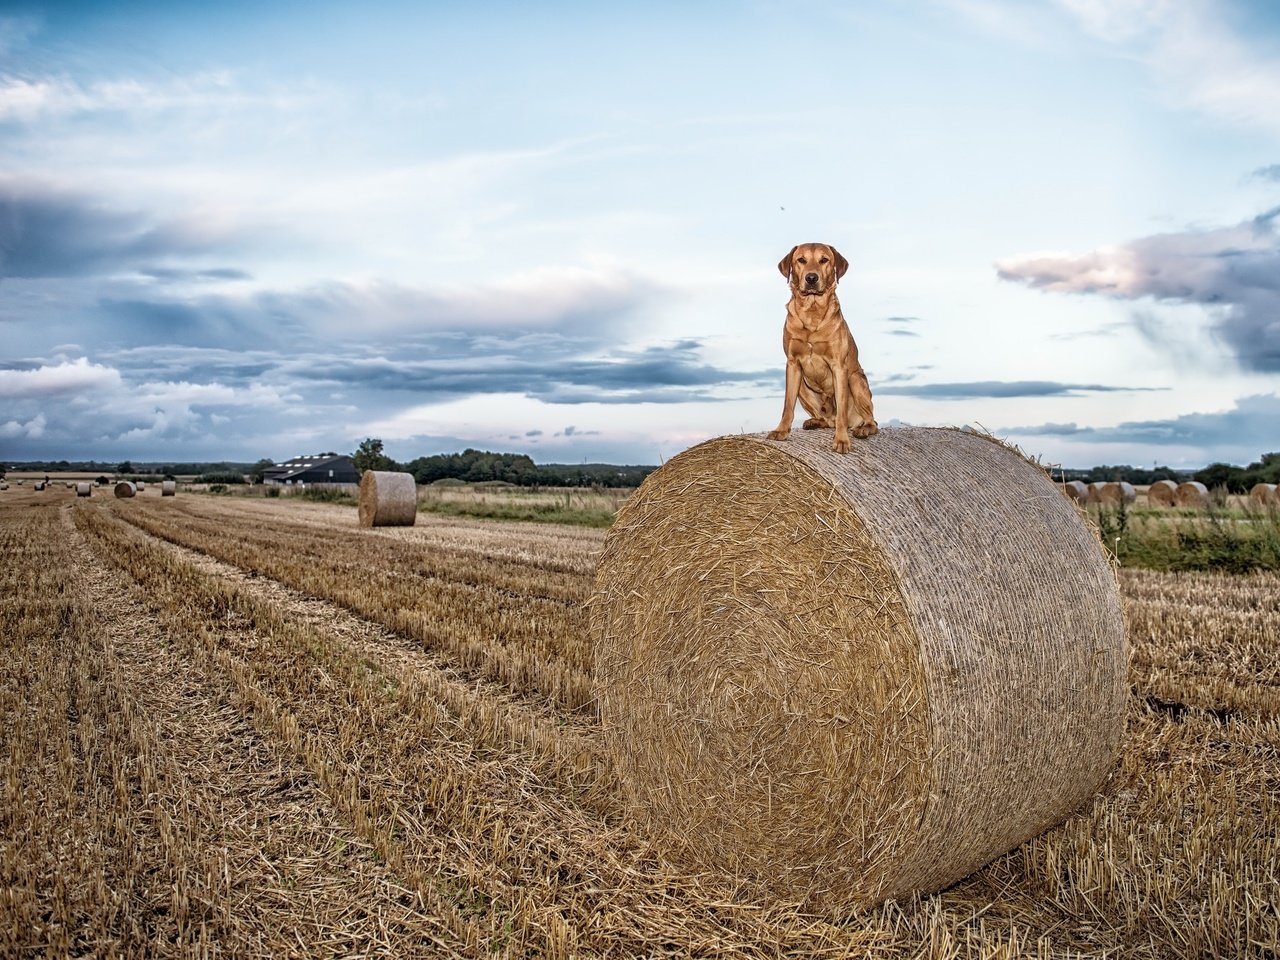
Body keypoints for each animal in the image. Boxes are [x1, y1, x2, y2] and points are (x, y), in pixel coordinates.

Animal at [762, 239, 875, 453]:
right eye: (801, 260)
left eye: (824, 260)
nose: (811, 278)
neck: (812, 312)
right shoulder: (792, 364)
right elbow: (787, 405)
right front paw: (781, 431)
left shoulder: (839, 366)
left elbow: (841, 413)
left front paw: (841, 440)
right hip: (803, 389)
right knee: (827, 420)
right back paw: (815, 422)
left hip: (855, 380)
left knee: (869, 420)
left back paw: (863, 429)